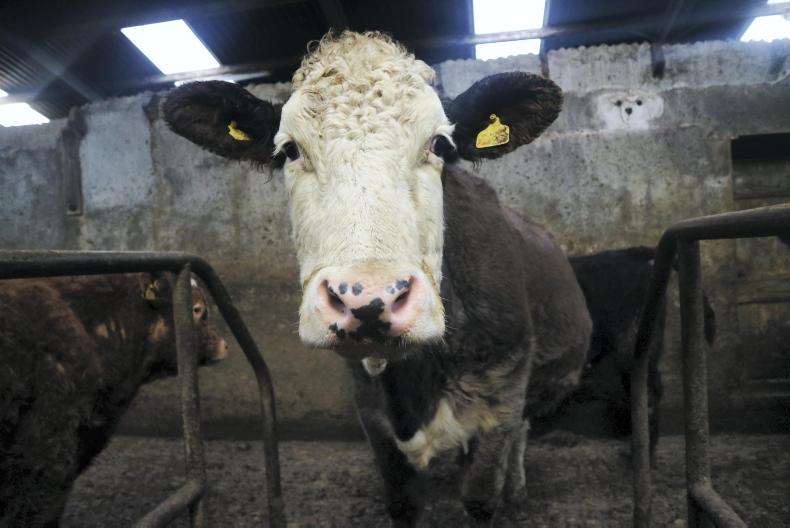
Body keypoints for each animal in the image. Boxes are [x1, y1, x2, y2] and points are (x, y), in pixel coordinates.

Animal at [163, 31, 592, 526]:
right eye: (290, 149)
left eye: (439, 145)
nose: (369, 299)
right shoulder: (373, 415)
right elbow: (403, 501)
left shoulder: (500, 395)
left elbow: (481, 495)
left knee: (521, 433)